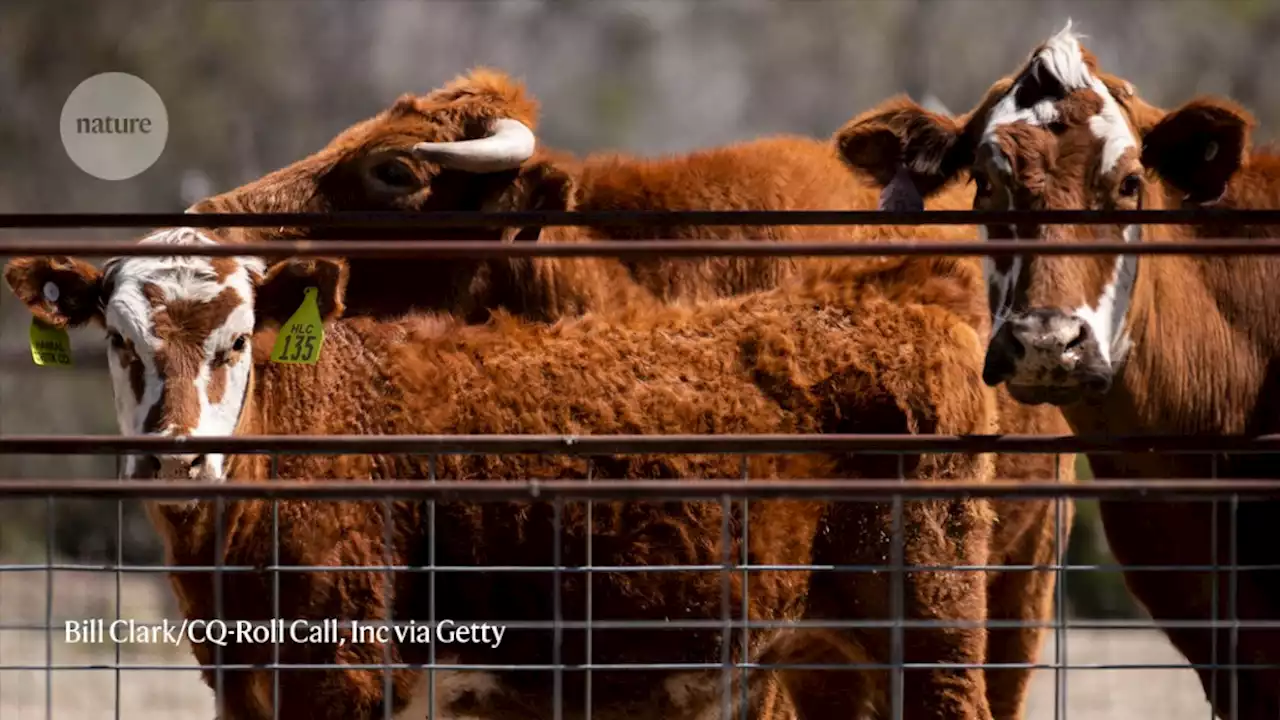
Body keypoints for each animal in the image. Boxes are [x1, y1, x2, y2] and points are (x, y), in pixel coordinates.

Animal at [7, 226, 1008, 712]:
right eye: (120, 343)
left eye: (239, 341)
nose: (177, 454)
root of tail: (919, 320)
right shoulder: (244, 680)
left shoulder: (342, 673)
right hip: (812, 650)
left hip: (931, 628)